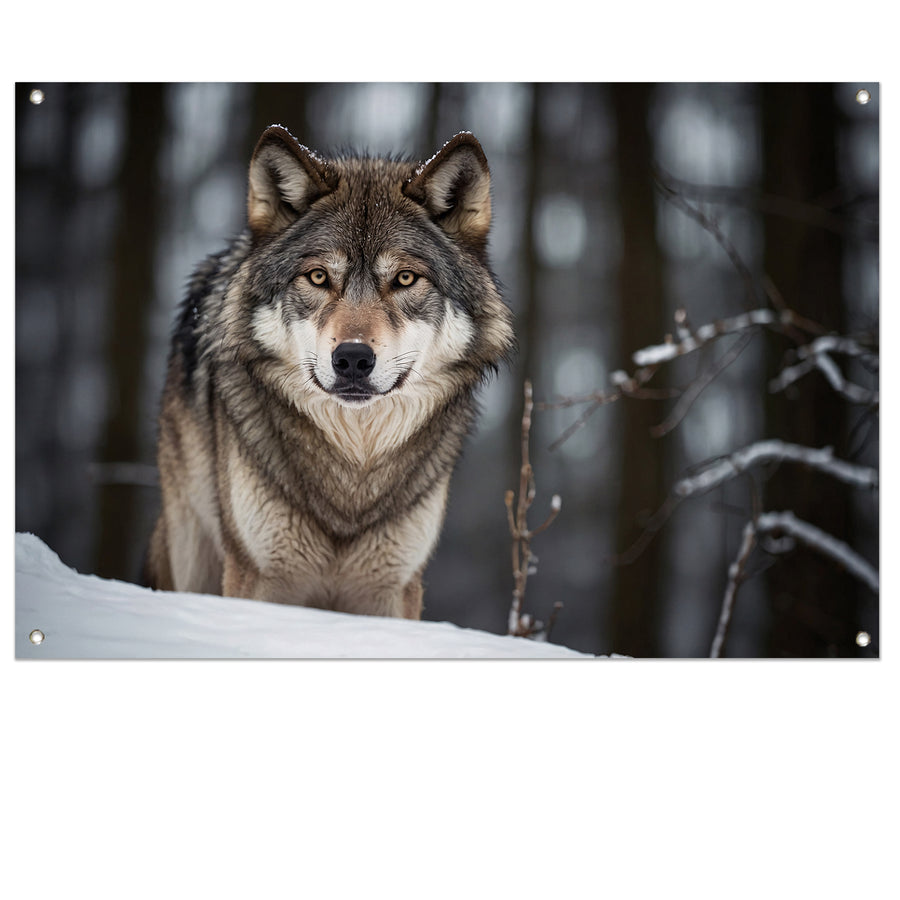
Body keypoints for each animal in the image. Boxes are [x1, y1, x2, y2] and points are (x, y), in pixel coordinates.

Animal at [145, 125, 514, 619]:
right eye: (318, 277)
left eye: (405, 279)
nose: (353, 358)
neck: (353, 477)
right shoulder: (255, 576)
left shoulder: (394, 588)